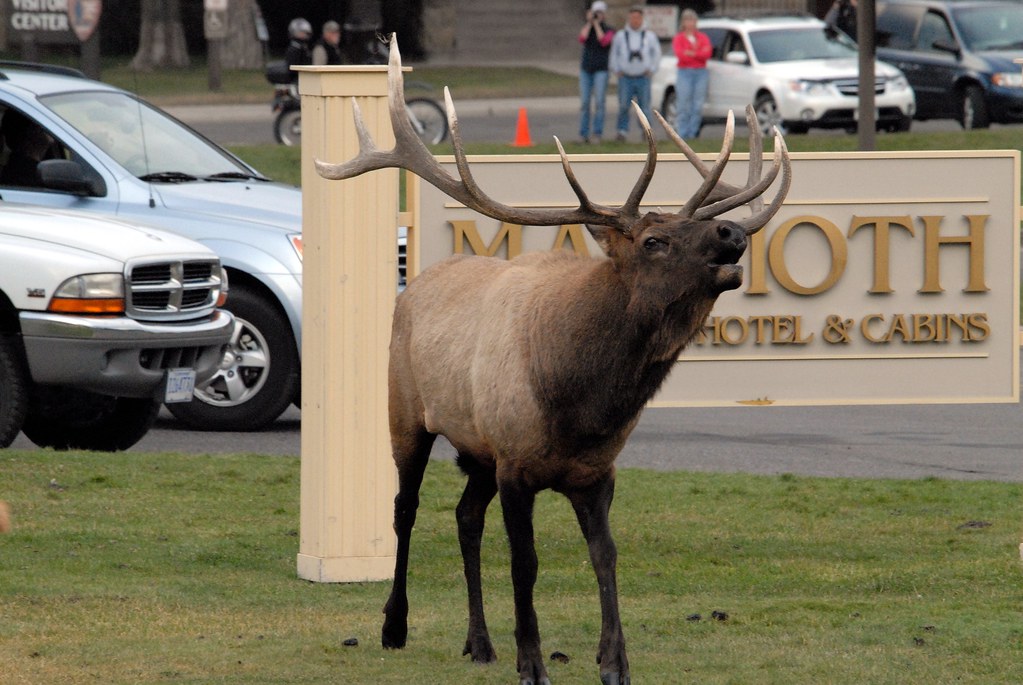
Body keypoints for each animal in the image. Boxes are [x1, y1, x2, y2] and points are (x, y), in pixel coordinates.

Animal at [316, 35, 791, 685]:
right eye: (654, 240)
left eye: (690, 223)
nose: (732, 233)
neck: (579, 403)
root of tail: (414, 282)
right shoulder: (517, 464)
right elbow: (526, 563)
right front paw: (533, 663)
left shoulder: (595, 472)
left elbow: (605, 557)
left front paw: (614, 662)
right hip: (406, 413)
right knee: (405, 509)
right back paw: (394, 627)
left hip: (478, 449)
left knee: (465, 516)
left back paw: (479, 642)